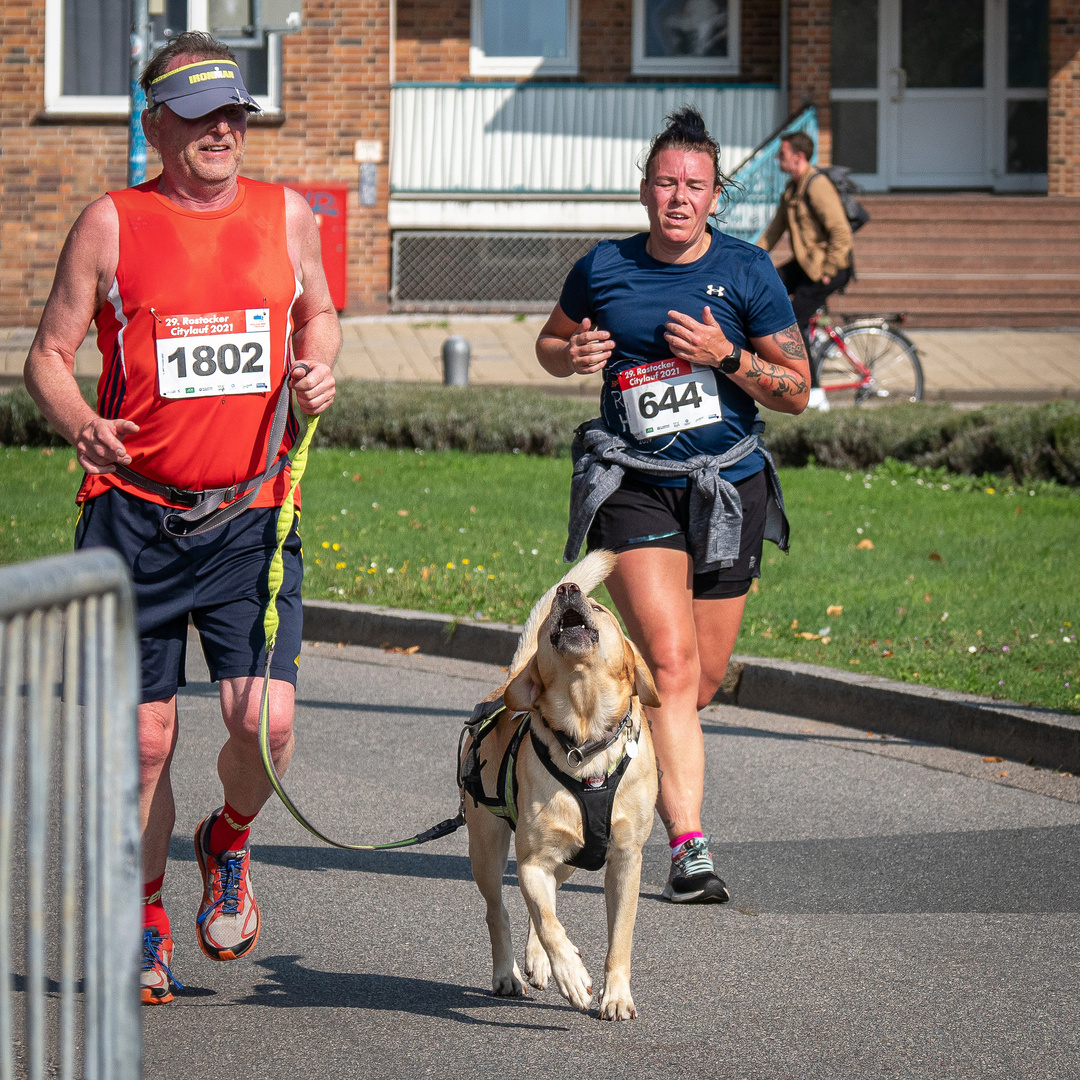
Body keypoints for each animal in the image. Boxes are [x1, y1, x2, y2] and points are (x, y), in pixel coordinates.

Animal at [457, 552, 656, 1015]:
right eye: (552, 614)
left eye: (600, 608)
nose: (568, 589)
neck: (585, 740)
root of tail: (503, 684)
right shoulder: (532, 861)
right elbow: (548, 923)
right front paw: (571, 975)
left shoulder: (626, 861)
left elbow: (619, 937)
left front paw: (616, 996)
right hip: (487, 848)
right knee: (501, 912)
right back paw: (509, 973)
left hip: (573, 857)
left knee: (541, 905)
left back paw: (536, 961)